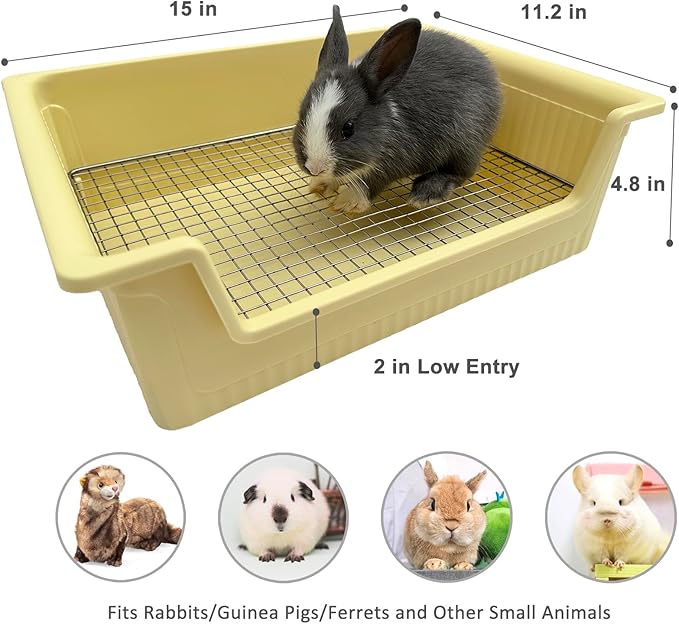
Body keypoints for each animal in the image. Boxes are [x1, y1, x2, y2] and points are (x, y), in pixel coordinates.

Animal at [292, 5, 502, 214]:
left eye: (348, 128)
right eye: (302, 117)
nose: (314, 168)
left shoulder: (391, 162)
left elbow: (369, 182)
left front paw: (348, 201)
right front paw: (320, 184)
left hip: (465, 139)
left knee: (461, 171)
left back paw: (426, 193)